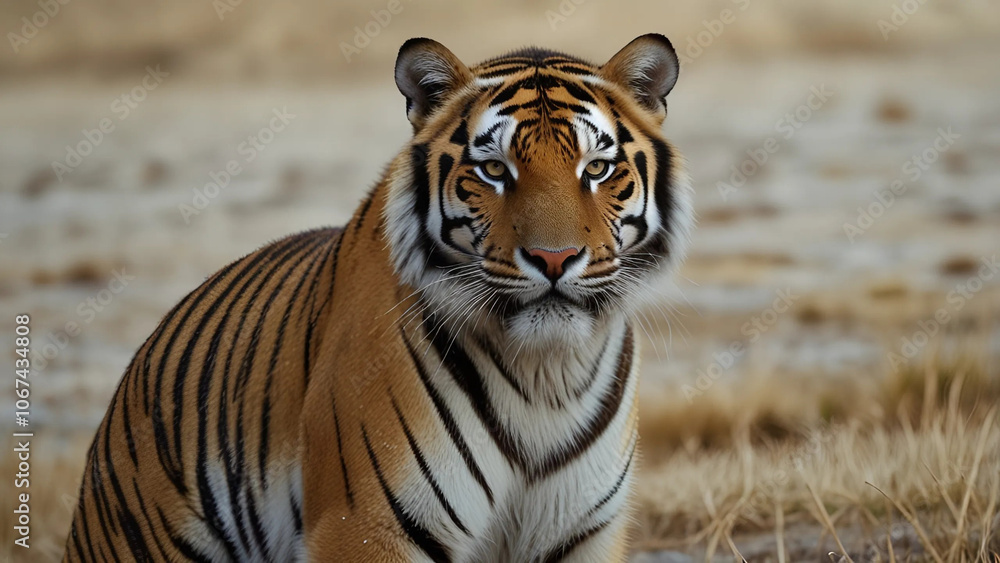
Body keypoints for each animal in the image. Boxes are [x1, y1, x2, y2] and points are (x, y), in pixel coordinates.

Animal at [63, 33, 693, 562]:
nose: (555, 259)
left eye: (597, 168)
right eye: (494, 170)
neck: (547, 374)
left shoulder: (582, 532)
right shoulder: (368, 524)